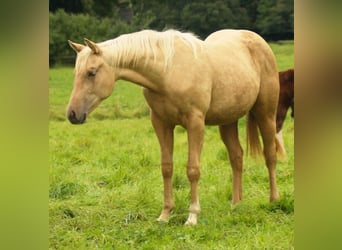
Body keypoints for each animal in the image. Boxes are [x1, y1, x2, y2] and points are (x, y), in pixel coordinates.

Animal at [66, 28, 284, 225]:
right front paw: (165, 214)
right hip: (228, 120)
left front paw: (192, 216)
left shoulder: (195, 123)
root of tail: (256, 40)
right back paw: (236, 204)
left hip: (266, 114)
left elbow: (193, 169)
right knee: (236, 157)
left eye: (91, 73)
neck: (168, 71)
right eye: (76, 73)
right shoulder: (161, 124)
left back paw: (274, 200)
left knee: (270, 155)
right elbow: (166, 168)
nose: (72, 114)